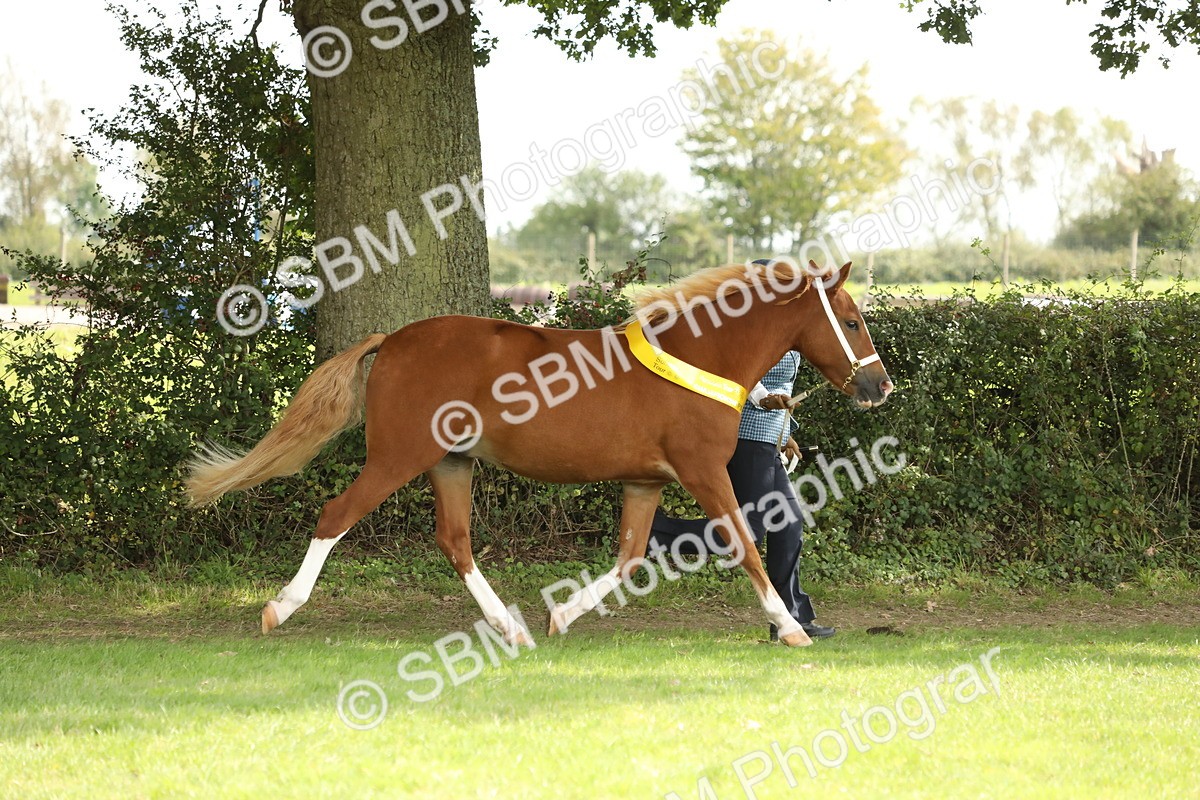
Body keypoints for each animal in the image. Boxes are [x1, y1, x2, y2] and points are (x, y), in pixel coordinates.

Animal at [185, 258, 893, 647]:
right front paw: (791, 627)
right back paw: (280, 607)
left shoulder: (646, 482)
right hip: (397, 459)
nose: (879, 387)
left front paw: (562, 614)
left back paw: (512, 626)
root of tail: (391, 341)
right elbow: (745, 543)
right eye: (852, 320)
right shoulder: (702, 471)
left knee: (456, 541)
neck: (697, 356)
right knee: (335, 516)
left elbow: (630, 557)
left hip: (452, 463)